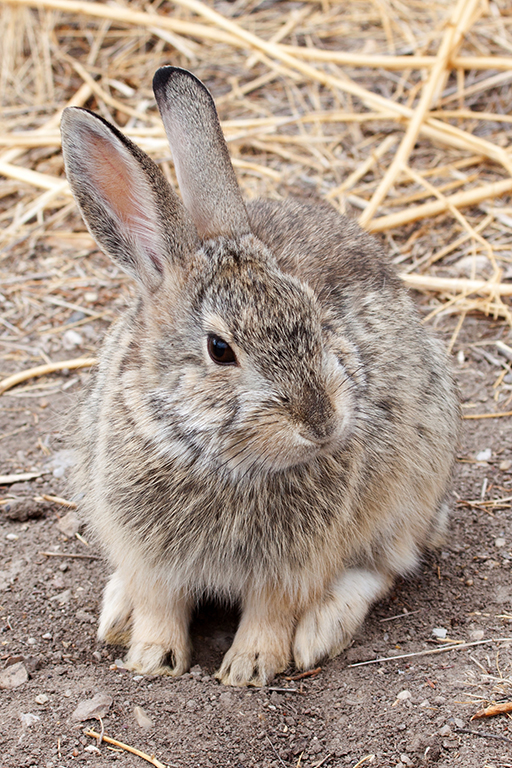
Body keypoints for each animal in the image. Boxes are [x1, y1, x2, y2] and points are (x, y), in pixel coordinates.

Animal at [60, 66, 460, 688]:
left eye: (315, 316)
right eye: (220, 349)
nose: (322, 423)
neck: (218, 461)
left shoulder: (293, 565)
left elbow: (272, 612)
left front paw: (250, 667)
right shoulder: (148, 553)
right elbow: (159, 602)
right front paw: (153, 659)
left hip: (414, 487)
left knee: (384, 566)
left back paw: (321, 630)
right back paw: (117, 614)